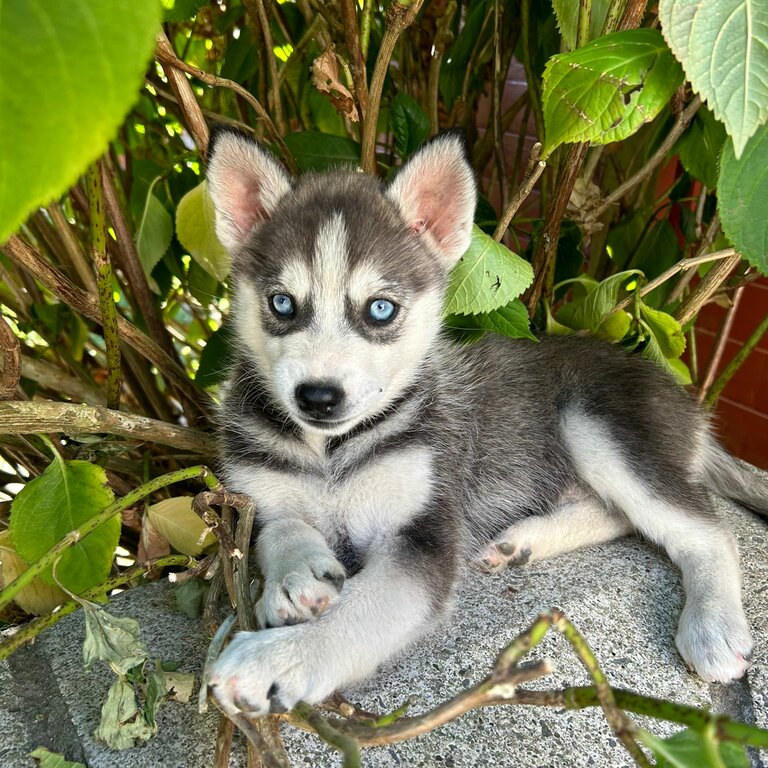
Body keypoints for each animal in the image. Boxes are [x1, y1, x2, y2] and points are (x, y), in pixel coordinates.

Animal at [206, 129, 768, 716]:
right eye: (282, 304)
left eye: (381, 309)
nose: (318, 397)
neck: (331, 450)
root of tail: (685, 400)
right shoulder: (258, 497)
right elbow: (278, 529)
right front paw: (297, 576)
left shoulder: (425, 535)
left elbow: (356, 616)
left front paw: (275, 659)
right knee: (623, 515)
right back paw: (522, 541)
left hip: (592, 421)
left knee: (706, 528)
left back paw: (713, 626)